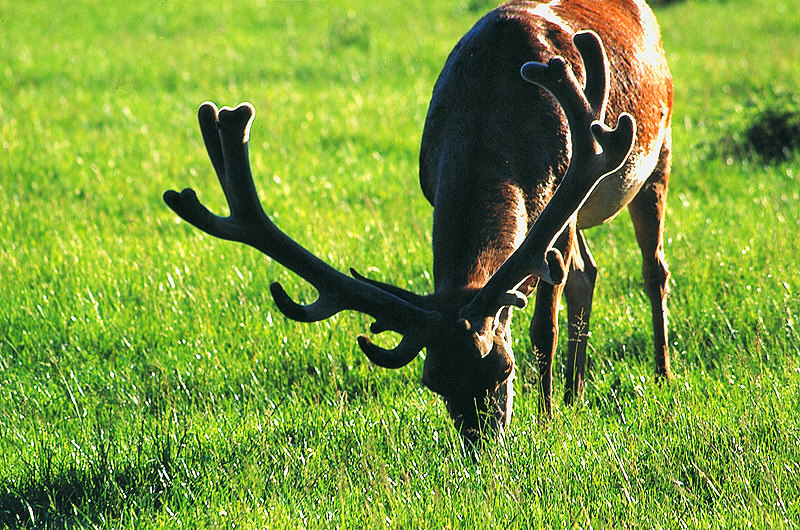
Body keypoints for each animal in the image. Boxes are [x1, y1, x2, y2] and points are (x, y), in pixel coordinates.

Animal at [164, 0, 676, 444]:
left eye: (503, 368)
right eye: (434, 382)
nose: (482, 449)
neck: (493, 111)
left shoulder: (561, 197)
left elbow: (541, 328)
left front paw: (546, 420)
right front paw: (558, 408)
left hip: (659, 147)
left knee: (652, 269)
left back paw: (660, 376)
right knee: (589, 273)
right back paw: (576, 394)